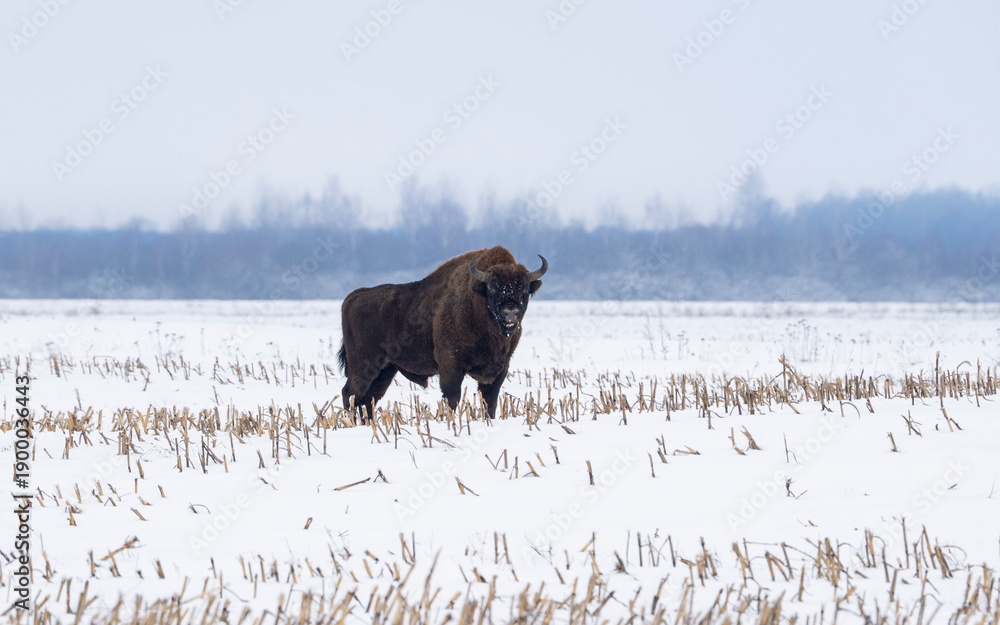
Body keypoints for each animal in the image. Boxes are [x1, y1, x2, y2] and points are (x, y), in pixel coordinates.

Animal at [338, 246, 547, 419]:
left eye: (524, 288)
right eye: (493, 288)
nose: (510, 312)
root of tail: (353, 297)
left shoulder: (500, 369)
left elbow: (490, 402)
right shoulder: (451, 364)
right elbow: (452, 398)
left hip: (385, 369)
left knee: (367, 398)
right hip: (363, 366)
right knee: (350, 393)